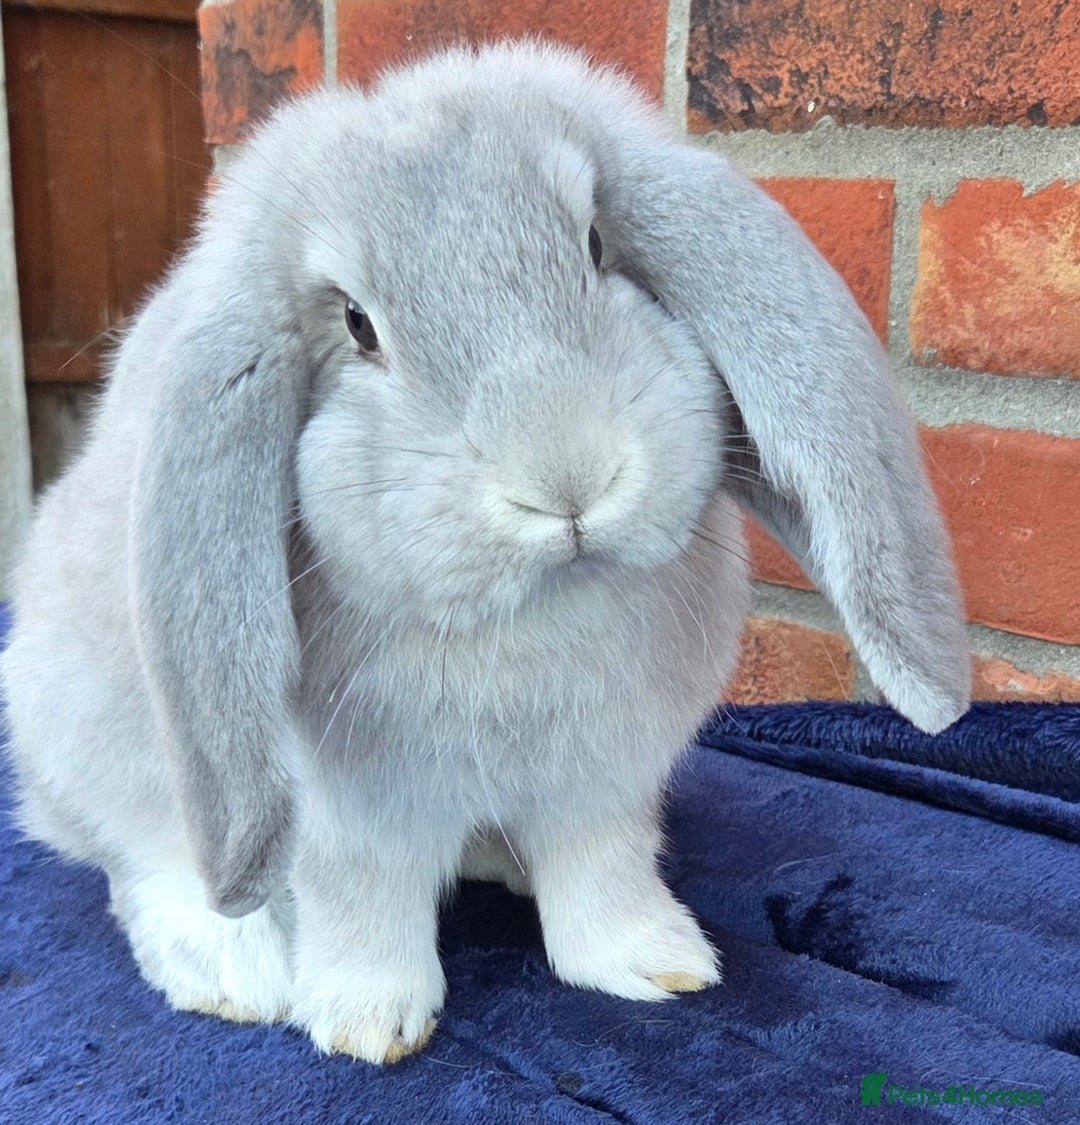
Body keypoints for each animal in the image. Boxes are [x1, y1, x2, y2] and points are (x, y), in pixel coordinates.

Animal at [0, 40, 970, 1064]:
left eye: (595, 247)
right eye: (357, 325)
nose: (568, 482)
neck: (529, 619)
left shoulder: (603, 785)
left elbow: (602, 875)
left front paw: (656, 964)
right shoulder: (351, 822)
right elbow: (363, 909)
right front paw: (365, 1022)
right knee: (137, 856)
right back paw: (237, 970)